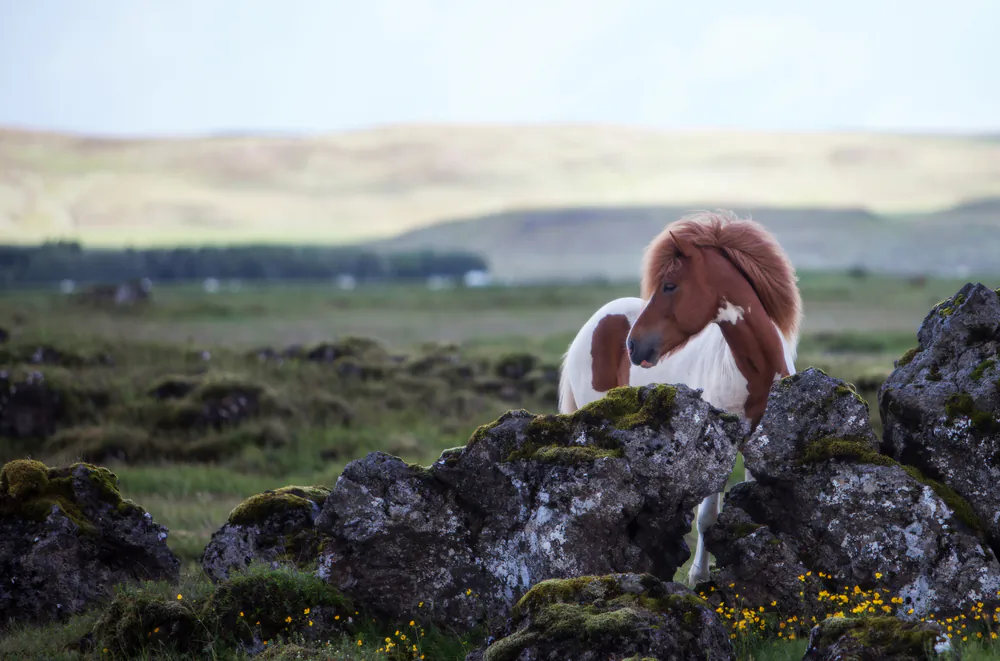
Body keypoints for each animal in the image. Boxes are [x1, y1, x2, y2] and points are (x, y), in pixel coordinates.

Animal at [557, 209, 802, 587]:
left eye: (670, 285)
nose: (633, 345)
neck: (756, 372)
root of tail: (596, 321)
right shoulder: (720, 445)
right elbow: (707, 517)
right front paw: (699, 578)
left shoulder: (759, 447)